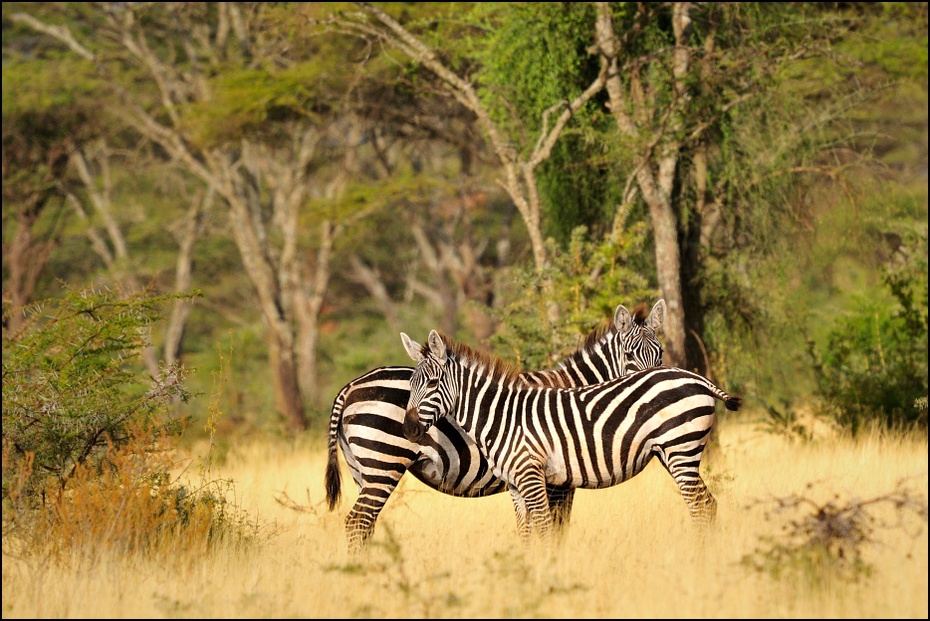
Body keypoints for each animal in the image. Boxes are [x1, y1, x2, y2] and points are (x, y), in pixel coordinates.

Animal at [322, 300, 664, 552]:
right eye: (629, 355)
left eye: (659, 356)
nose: (650, 385)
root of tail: (350, 386)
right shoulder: (558, 481)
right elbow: (555, 530)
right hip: (384, 461)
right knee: (358, 522)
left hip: (362, 469)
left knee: (363, 525)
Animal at [398, 330, 740, 536]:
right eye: (410, 385)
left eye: (431, 384)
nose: (408, 429)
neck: (501, 416)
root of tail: (695, 377)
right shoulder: (516, 484)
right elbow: (527, 534)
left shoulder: (534, 477)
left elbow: (547, 530)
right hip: (674, 453)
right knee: (708, 504)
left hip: (681, 449)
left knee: (698, 507)